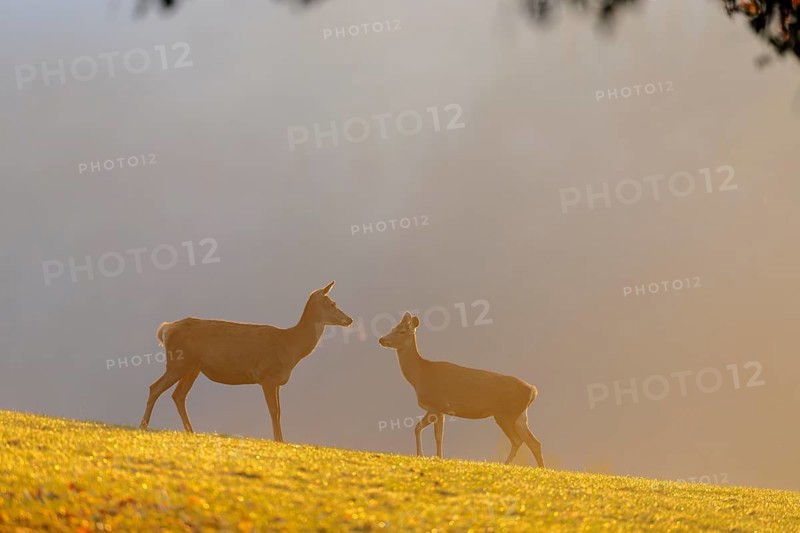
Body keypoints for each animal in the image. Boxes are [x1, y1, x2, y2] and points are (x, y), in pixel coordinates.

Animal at [139, 281, 353, 442]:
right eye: (332, 303)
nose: (349, 319)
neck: (290, 347)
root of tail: (165, 329)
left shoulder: (277, 381)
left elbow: (279, 411)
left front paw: (281, 439)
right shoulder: (267, 375)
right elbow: (274, 410)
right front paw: (278, 440)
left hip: (193, 367)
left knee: (178, 395)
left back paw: (190, 430)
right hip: (179, 362)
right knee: (155, 387)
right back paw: (143, 426)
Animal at [378, 312, 545, 467]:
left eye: (402, 331)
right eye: (392, 328)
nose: (382, 339)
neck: (420, 376)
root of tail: (533, 391)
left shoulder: (437, 404)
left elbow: (418, 428)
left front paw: (421, 455)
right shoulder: (441, 410)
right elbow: (438, 435)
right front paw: (438, 457)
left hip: (506, 414)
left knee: (518, 440)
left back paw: (508, 465)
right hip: (520, 416)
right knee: (534, 442)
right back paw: (538, 468)